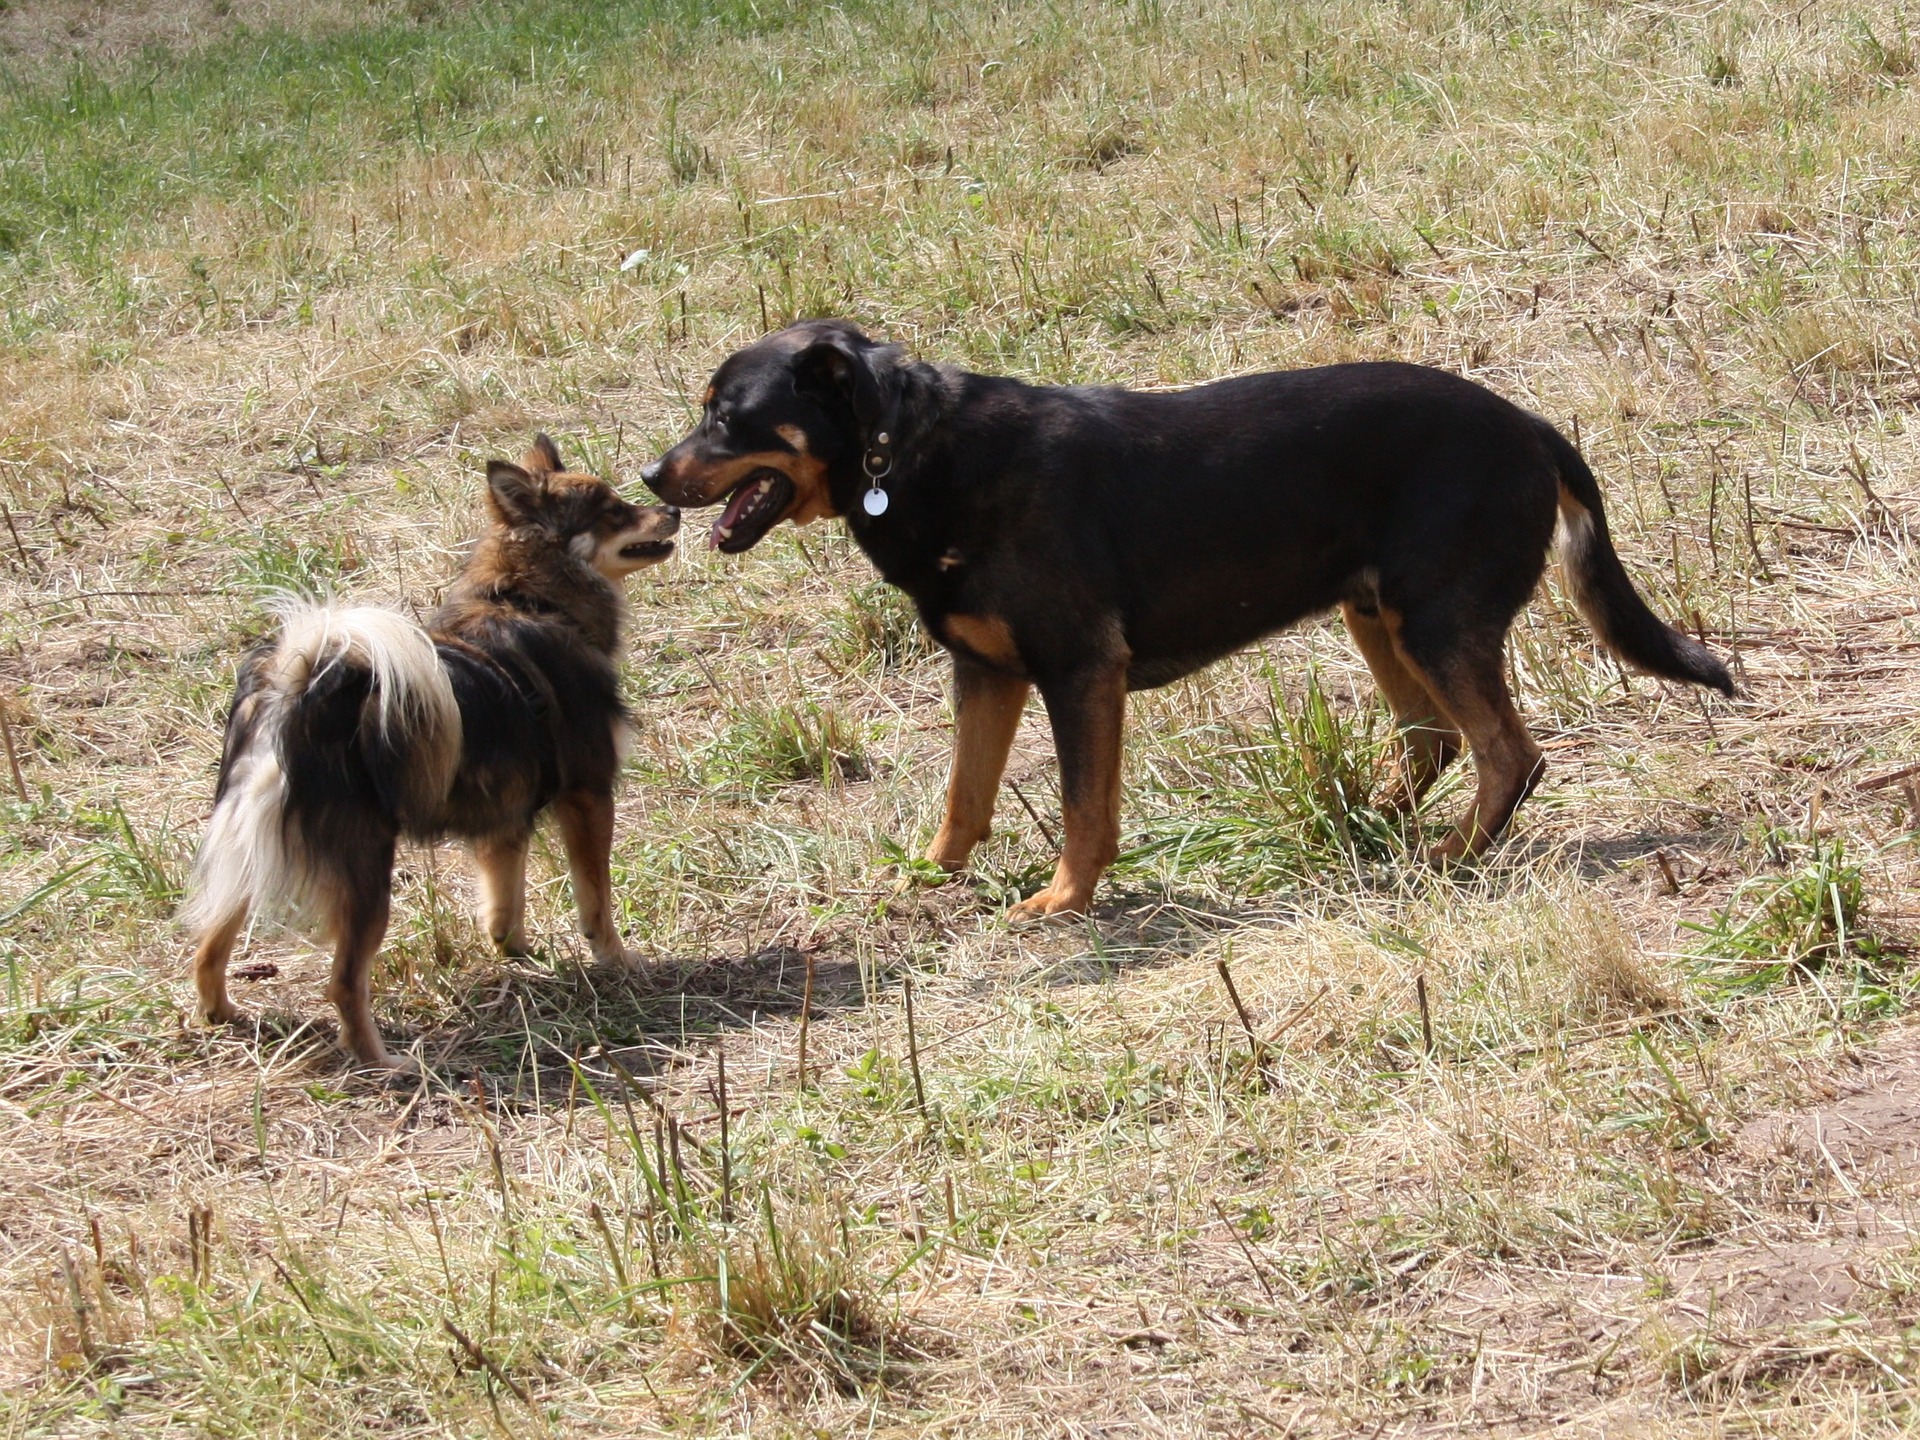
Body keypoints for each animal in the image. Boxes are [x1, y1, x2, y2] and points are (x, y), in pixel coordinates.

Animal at [180, 439, 675, 1075]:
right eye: (613, 511)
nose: (672, 509)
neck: (531, 600)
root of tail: (298, 689)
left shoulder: (505, 817)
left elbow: (504, 900)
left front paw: (517, 952)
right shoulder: (587, 796)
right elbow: (596, 898)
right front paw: (617, 961)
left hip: (244, 850)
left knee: (208, 945)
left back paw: (222, 1015)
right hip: (367, 875)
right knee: (343, 982)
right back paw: (384, 1064)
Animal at [641, 320, 1728, 917]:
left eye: (728, 416)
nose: (649, 475)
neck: (908, 455)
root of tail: (1531, 427)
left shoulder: (1080, 672)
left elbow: (1084, 806)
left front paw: (1063, 900)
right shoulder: (986, 672)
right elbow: (964, 796)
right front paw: (930, 878)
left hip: (1434, 618)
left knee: (1509, 751)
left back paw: (1454, 854)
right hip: (1376, 615)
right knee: (1434, 740)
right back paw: (1374, 821)